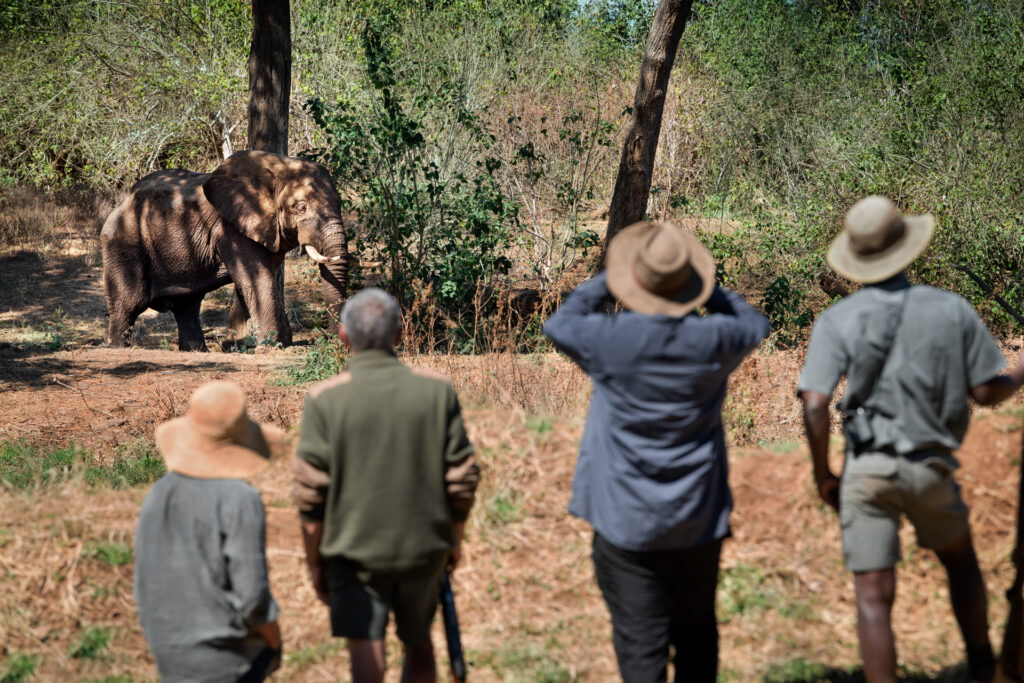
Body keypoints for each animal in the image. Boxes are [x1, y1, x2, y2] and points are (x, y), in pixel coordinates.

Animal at [100, 150, 348, 351]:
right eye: (301, 208)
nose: (335, 343)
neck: (278, 165)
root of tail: (119, 206)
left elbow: (266, 279)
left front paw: (280, 342)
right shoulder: (232, 228)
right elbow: (258, 279)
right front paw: (272, 346)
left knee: (187, 304)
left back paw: (196, 351)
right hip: (125, 244)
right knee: (131, 303)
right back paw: (119, 347)